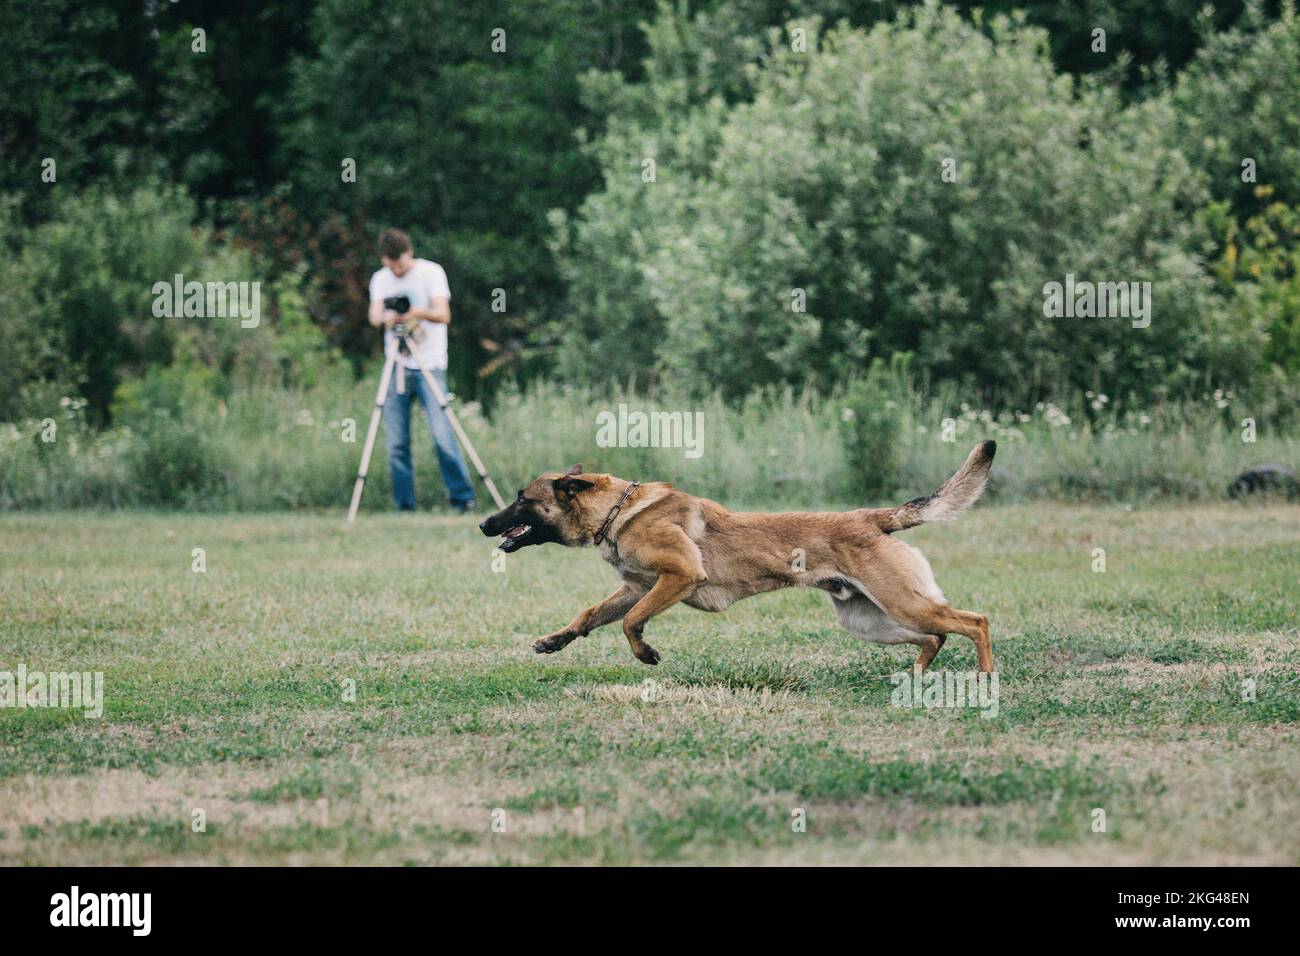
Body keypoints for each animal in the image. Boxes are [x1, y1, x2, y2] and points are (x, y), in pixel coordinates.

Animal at [478, 442, 993, 671]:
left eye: (522, 499)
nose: (483, 524)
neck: (618, 510)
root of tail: (871, 517)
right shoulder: (636, 587)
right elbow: (590, 614)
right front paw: (555, 641)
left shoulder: (679, 576)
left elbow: (630, 622)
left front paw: (646, 653)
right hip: (869, 620)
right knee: (934, 637)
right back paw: (919, 674)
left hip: (901, 604)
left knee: (975, 622)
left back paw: (985, 678)